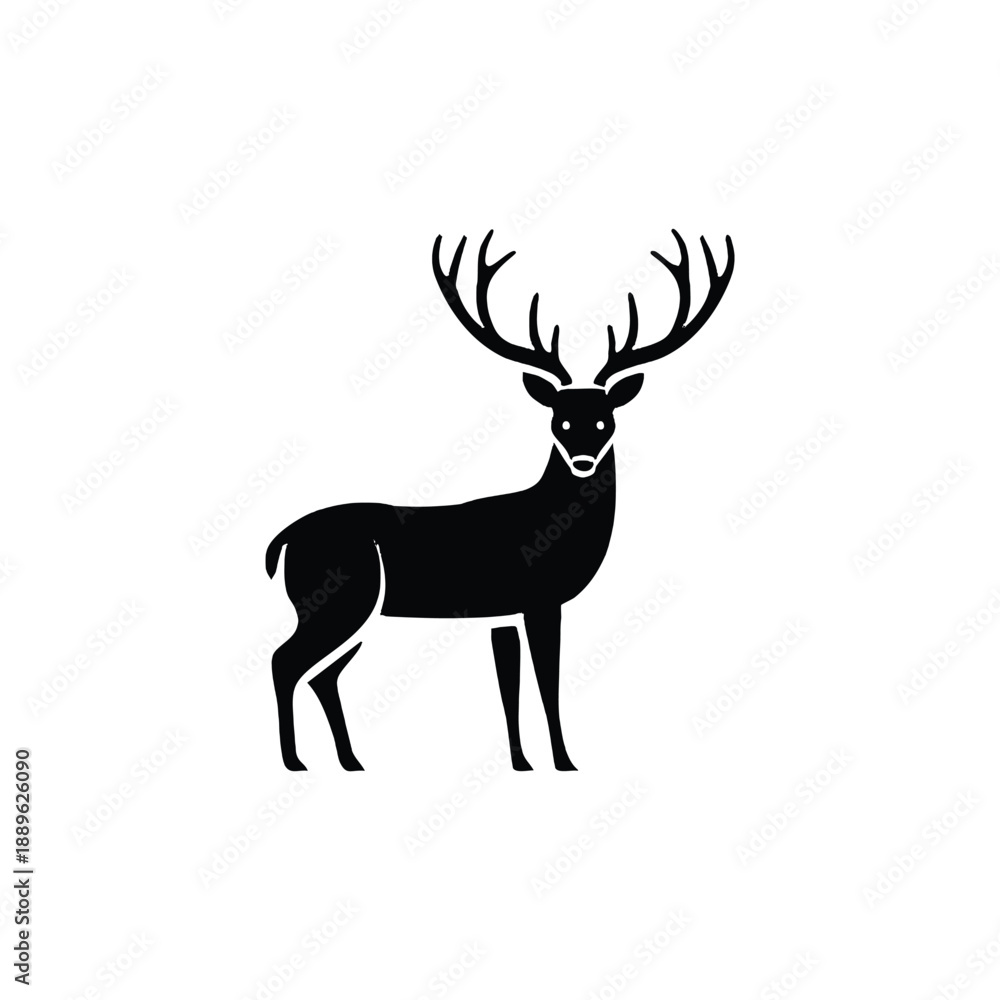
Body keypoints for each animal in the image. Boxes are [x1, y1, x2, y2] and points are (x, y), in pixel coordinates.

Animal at [264, 229, 734, 771]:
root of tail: (281, 542)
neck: (547, 523)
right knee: (285, 661)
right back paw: (295, 761)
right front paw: (564, 761)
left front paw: (522, 762)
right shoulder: (540, 599)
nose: (583, 462)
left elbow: (508, 684)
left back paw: (350, 761)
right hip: (337, 600)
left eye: (605, 420)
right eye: (560, 421)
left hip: (352, 611)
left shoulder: (500, 615)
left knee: (323, 674)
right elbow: (546, 682)